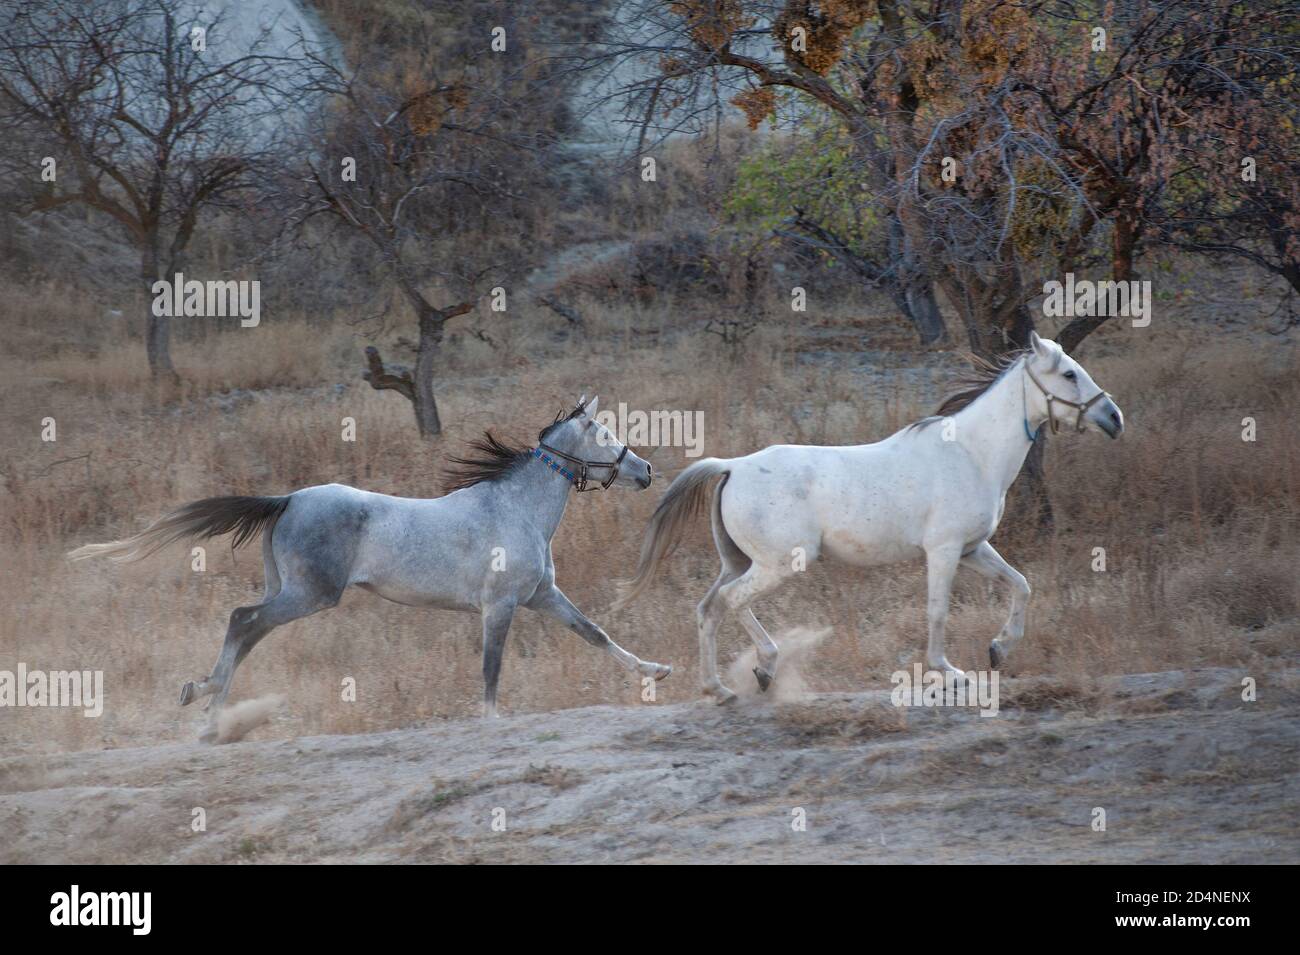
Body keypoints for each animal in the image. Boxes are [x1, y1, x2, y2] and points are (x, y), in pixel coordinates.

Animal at [70, 396, 672, 741]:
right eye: (604, 434)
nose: (644, 470)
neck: (516, 508)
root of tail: (288, 499)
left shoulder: (543, 595)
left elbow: (594, 632)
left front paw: (656, 672)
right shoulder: (499, 606)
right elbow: (491, 667)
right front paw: (490, 719)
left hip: (292, 591)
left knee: (249, 629)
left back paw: (210, 708)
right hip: (310, 594)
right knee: (243, 620)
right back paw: (206, 711)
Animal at [618, 333, 1124, 704]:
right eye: (1069, 373)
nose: (1114, 417)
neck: (971, 454)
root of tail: (731, 466)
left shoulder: (972, 549)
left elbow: (1021, 585)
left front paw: (998, 649)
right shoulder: (943, 551)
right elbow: (938, 610)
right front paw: (949, 672)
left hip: (739, 561)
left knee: (708, 609)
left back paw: (719, 689)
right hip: (780, 564)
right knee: (732, 602)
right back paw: (763, 668)